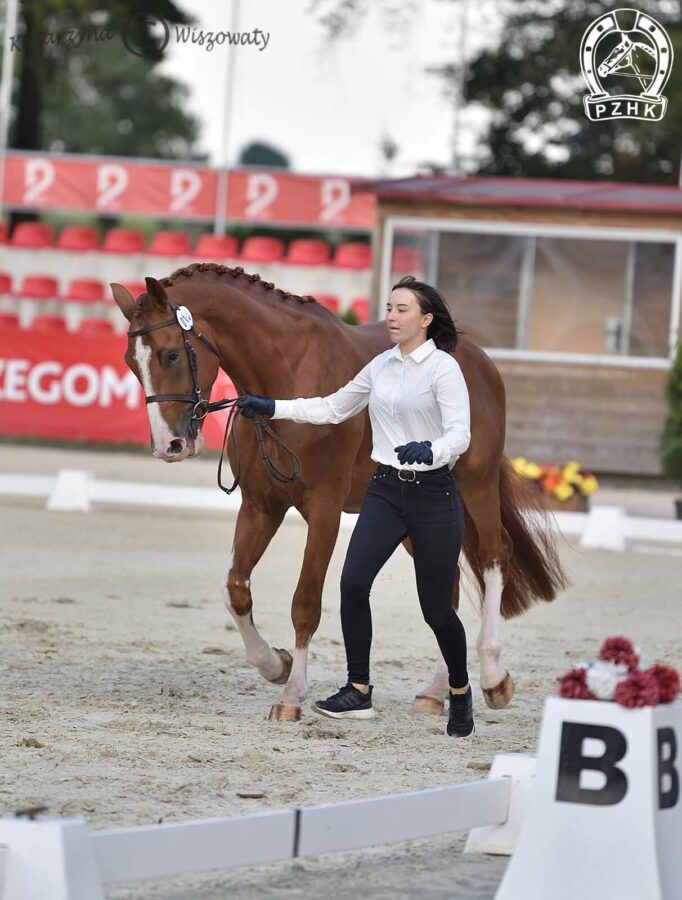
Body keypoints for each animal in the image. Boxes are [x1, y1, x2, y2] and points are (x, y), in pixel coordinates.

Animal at [111, 264, 564, 720]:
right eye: (132, 362)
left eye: (171, 354)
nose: (169, 446)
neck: (289, 371)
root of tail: (477, 357)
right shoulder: (261, 506)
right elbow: (235, 589)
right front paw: (275, 664)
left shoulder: (324, 510)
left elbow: (305, 603)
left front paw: (291, 695)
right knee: (445, 584)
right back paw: (437, 692)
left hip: (477, 484)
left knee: (494, 556)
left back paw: (493, 678)